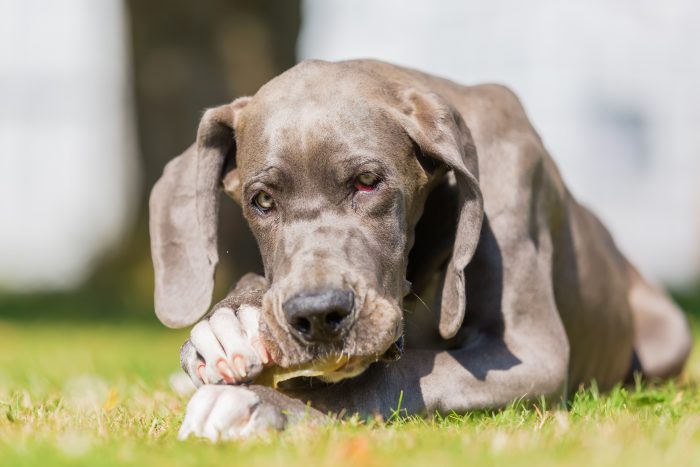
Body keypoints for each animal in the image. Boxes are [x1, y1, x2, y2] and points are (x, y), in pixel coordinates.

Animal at [150, 59, 692, 442]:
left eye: (368, 181)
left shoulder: (533, 354)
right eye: (262, 201)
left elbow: (387, 378)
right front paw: (229, 324)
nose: (319, 315)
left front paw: (266, 405)